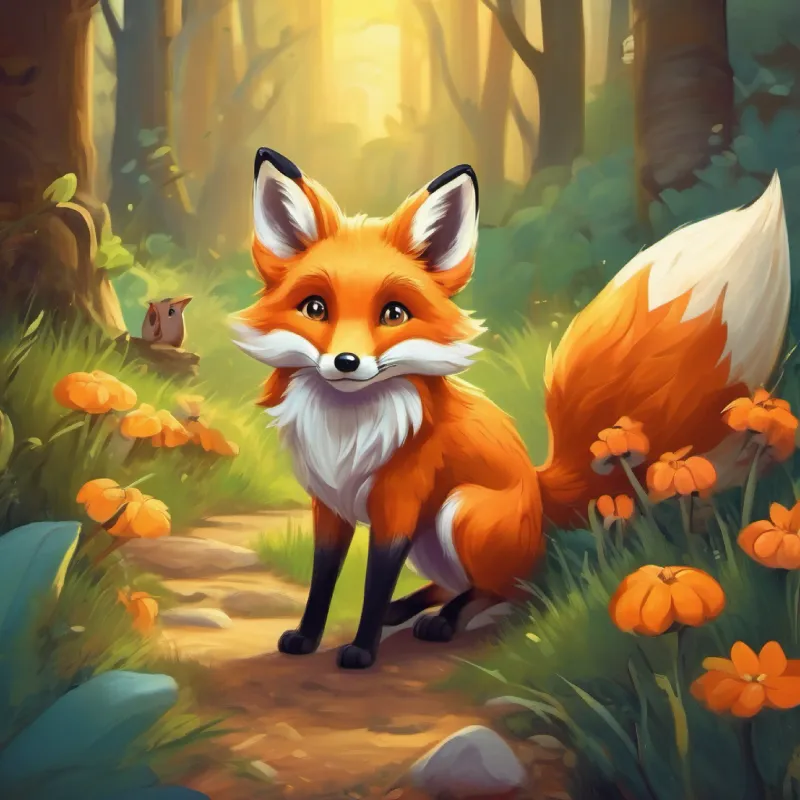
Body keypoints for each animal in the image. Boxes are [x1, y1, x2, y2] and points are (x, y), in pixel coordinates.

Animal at [232, 147, 790, 670]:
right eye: (315, 308)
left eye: (393, 313)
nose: (346, 363)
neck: (346, 432)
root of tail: (539, 492)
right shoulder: (328, 506)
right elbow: (323, 579)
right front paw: (307, 637)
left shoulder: (399, 504)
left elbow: (373, 584)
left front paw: (362, 651)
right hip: (435, 540)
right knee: (468, 583)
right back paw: (411, 608)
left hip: (462, 511)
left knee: (514, 590)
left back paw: (444, 620)